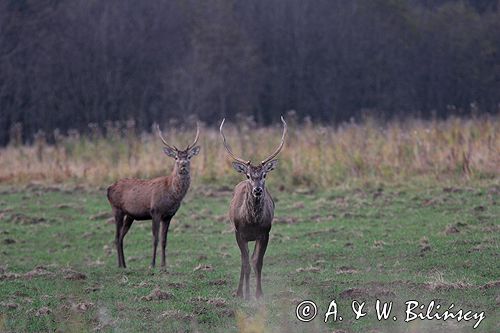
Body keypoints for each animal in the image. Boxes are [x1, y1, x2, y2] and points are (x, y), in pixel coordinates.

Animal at [106, 123, 200, 268]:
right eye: (176, 157)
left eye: (189, 157)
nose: (183, 165)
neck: (171, 193)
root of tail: (109, 188)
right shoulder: (155, 211)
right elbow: (155, 239)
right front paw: (152, 264)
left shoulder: (168, 216)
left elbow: (164, 240)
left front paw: (164, 265)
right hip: (117, 209)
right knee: (116, 237)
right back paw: (120, 265)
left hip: (130, 215)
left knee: (121, 236)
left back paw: (125, 265)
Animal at [220, 116, 288, 298]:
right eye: (249, 175)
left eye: (264, 174)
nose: (257, 190)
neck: (252, 221)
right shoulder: (239, 233)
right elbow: (246, 263)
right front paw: (246, 294)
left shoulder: (265, 233)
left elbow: (257, 262)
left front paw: (258, 294)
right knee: (244, 261)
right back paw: (240, 292)